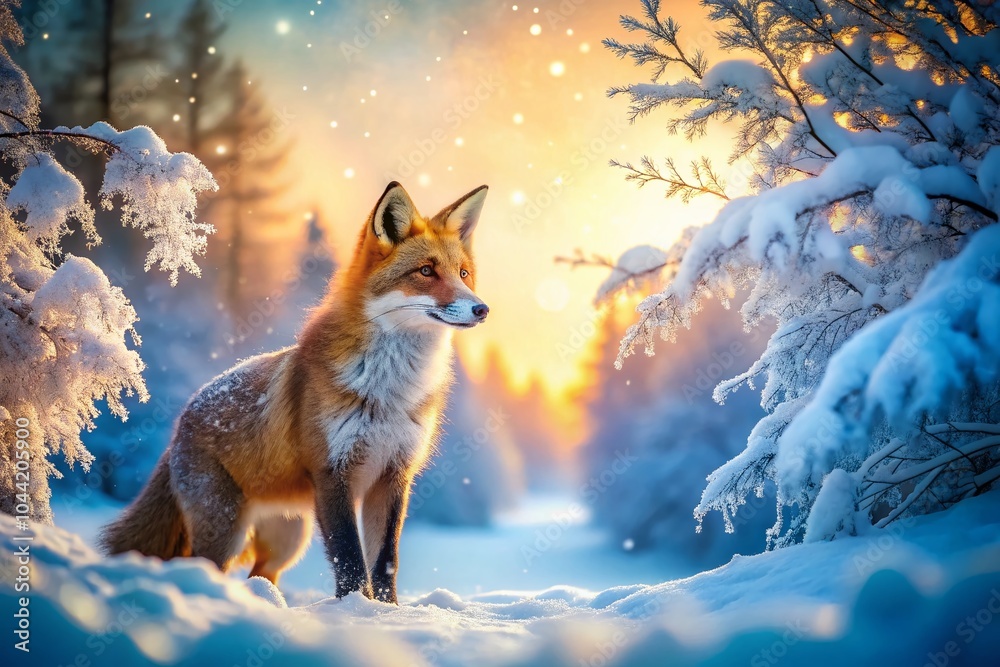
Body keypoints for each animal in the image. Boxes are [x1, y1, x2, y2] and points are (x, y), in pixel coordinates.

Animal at [99, 182, 490, 603]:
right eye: (426, 271)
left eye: (464, 274)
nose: (482, 309)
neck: (389, 391)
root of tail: (180, 424)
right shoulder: (332, 473)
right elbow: (351, 561)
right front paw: (355, 608)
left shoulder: (393, 475)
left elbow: (385, 560)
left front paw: (388, 611)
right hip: (226, 532)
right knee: (201, 568)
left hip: (288, 539)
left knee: (262, 575)